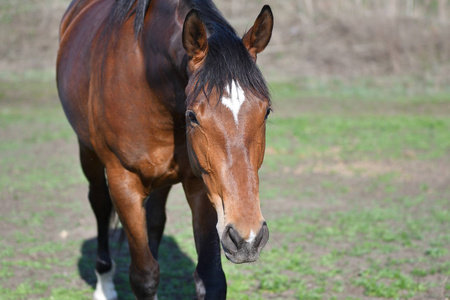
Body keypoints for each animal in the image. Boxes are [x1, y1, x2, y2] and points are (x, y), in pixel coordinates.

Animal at [56, 0, 274, 298]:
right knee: (100, 204)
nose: (247, 238)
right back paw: (104, 284)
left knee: (155, 220)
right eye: (192, 116)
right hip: (88, 152)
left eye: (266, 112)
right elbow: (144, 276)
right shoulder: (123, 182)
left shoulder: (201, 183)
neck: (148, 78)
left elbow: (211, 277)